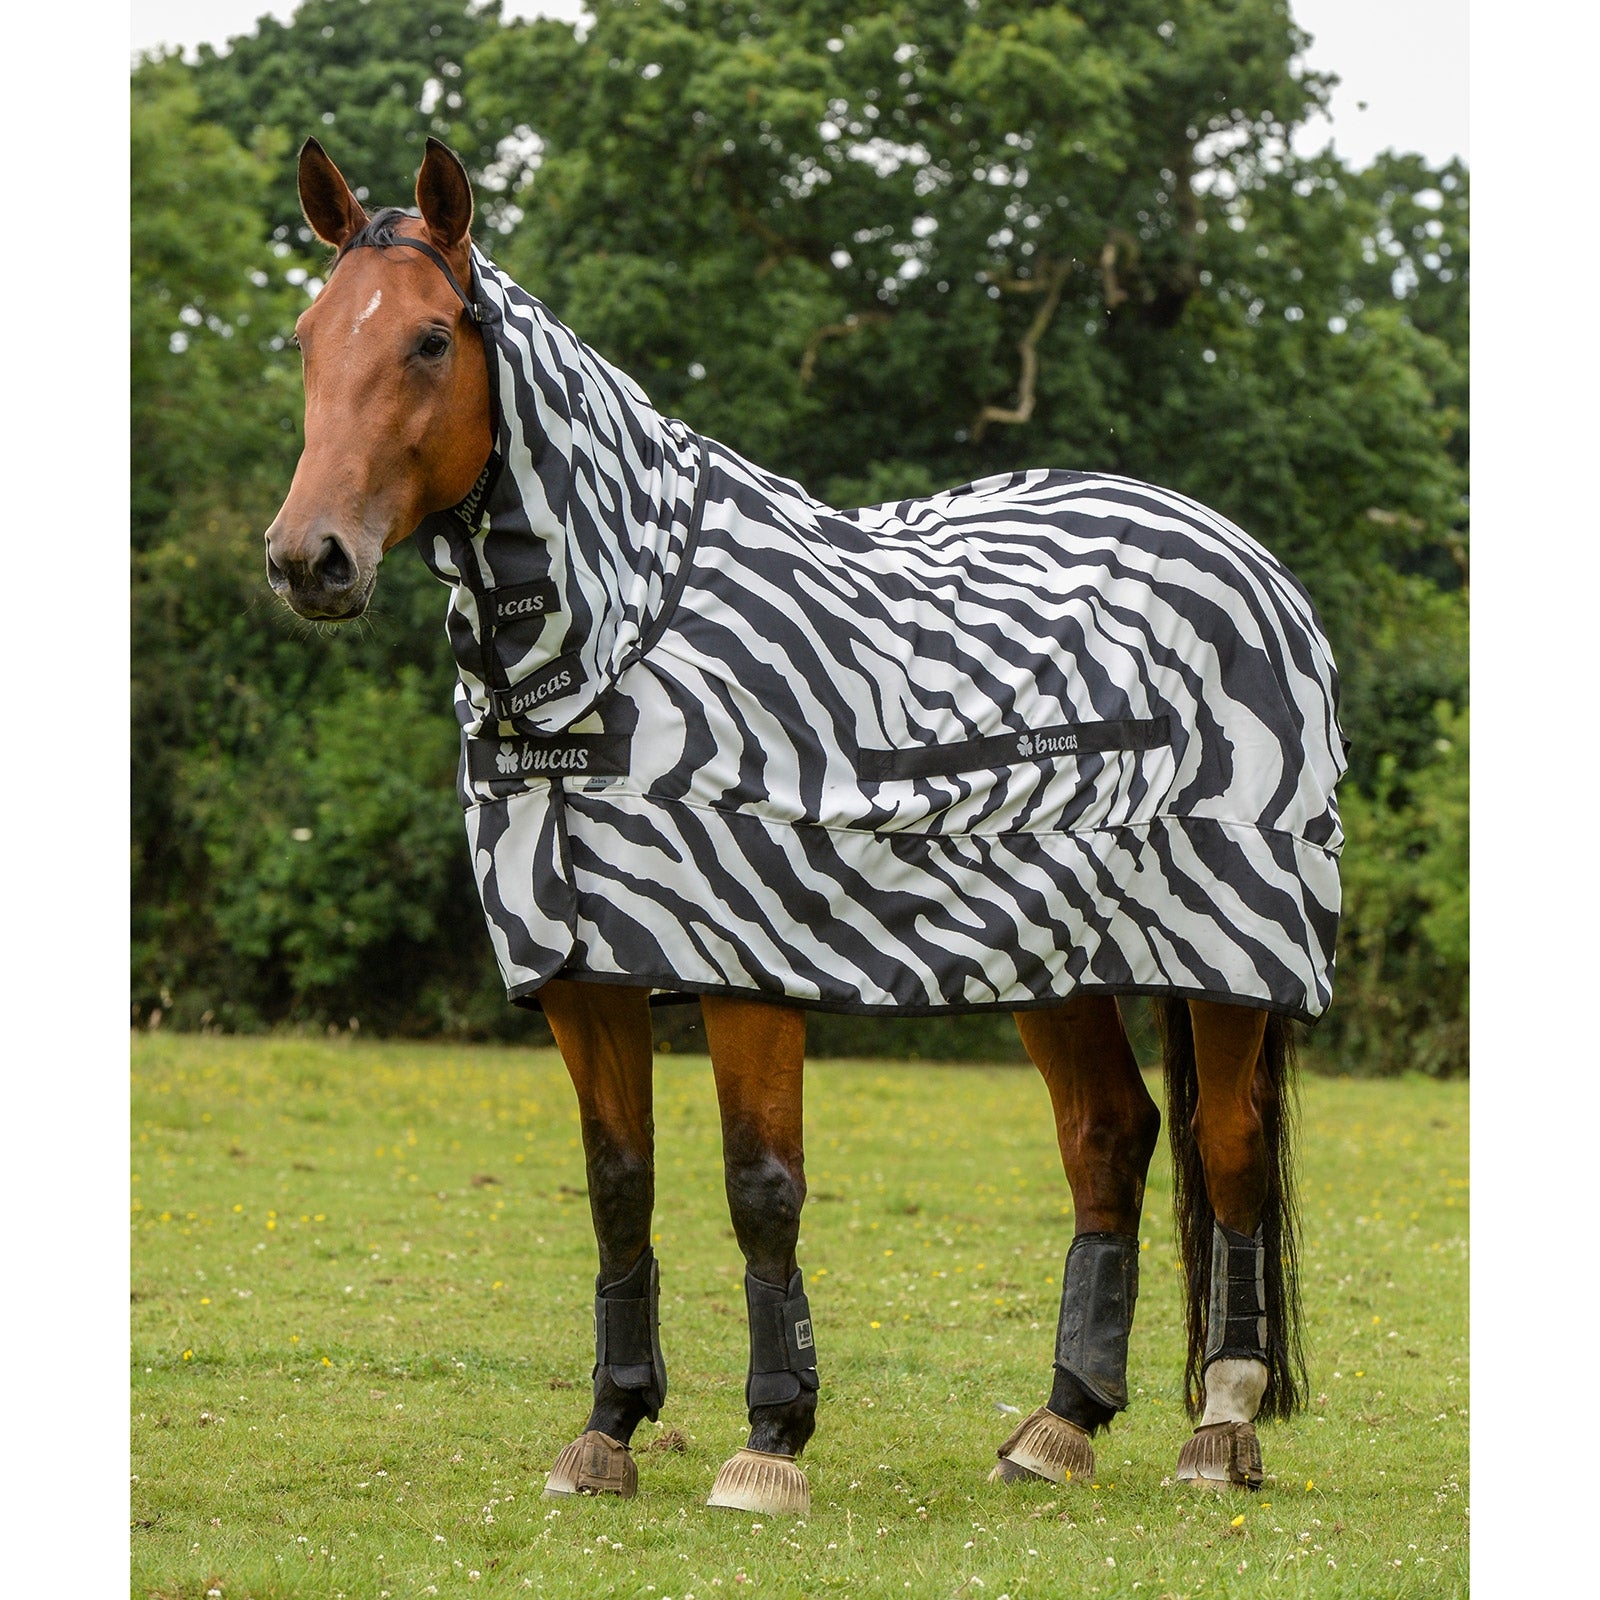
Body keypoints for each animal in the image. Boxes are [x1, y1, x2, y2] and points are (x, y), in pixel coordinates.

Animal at [265, 137, 1344, 1515]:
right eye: (307, 339)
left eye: (427, 341)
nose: (309, 560)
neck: (625, 633)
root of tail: (1247, 563)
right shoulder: (581, 967)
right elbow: (620, 1187)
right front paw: (609, 1426)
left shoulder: (747, 951)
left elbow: (759, 1186)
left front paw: (770, 1437)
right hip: (1055, 949)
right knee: (1112, 1136)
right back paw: (1059, 1424)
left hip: (1228, 948)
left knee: (1228, 1148)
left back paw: (1221, 1425)